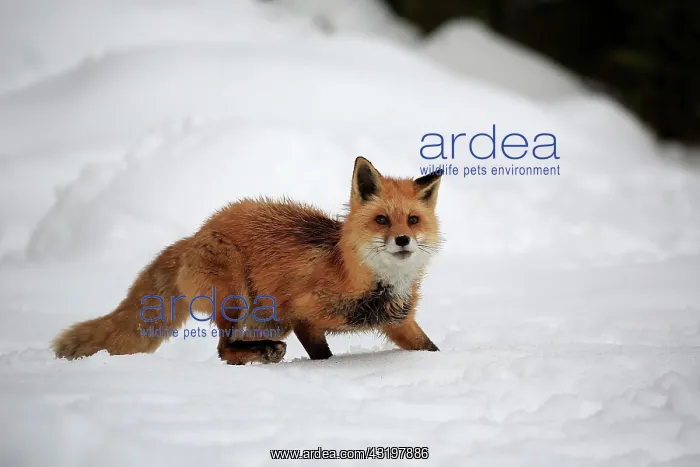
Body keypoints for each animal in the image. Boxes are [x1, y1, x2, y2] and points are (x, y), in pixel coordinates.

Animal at [51, 157, 443, 365]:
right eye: (382, 220)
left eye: (412, 220)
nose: (403, 239)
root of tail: (198, 232)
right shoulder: (301, 315)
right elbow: (323, 356)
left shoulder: (399, 322)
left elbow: (430, 348)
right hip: (235, 299)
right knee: (224, 349)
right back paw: (262, 353)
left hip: (266, 320)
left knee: (232, 349)